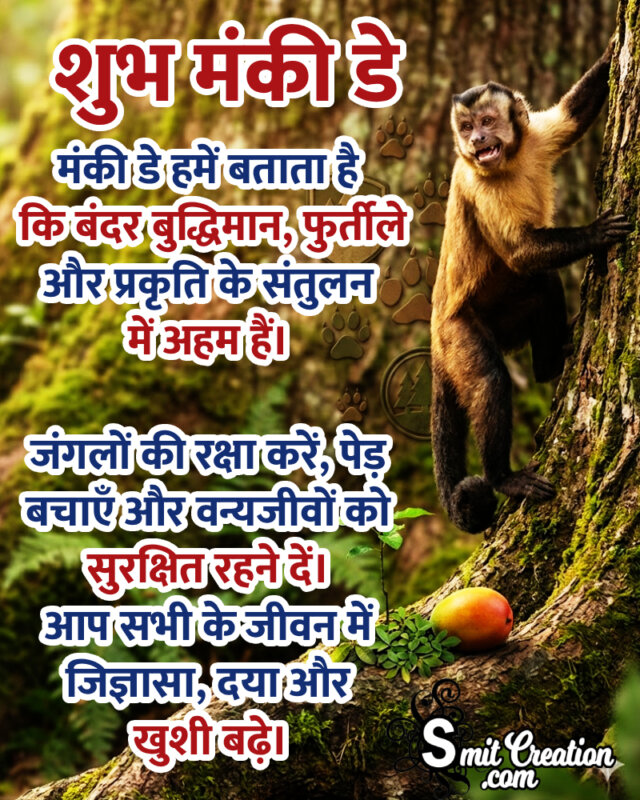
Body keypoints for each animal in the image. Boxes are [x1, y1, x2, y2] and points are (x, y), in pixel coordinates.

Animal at [430, 41, 632, 534]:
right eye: (466, 128)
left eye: (487, 122)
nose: (476, 143)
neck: (506, 162)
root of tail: (433, 342)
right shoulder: (478, 186)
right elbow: (521, 252)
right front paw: (596, 232)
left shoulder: (534, 138)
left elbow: (571, 115)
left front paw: (610, 51)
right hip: (455, 336)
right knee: (488, 380)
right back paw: (502, 477)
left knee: (543, 284)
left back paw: (550, 365)